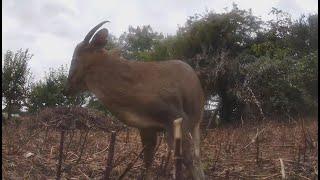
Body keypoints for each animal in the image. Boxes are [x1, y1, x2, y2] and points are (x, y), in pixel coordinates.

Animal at [63, 20, 206, 179]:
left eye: (75, 58)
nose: (65, 89)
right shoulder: (146, 126)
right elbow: (148, 160)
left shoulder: (176, 116)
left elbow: (186, 157)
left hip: (196, 120)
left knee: (194, 156)